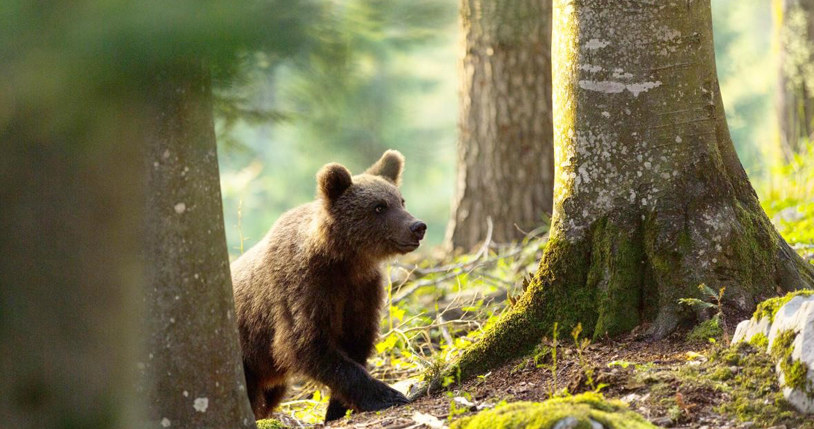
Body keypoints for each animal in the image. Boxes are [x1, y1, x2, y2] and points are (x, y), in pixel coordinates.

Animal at [228, 150, 424, 422]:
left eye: (401, 201)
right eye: (379, 207)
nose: (417, 227)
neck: (345, 260)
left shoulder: (362, 291)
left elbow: (356, 342)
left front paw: (338, 409)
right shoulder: (304, 288)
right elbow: (308, 344)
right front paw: (387, 395)